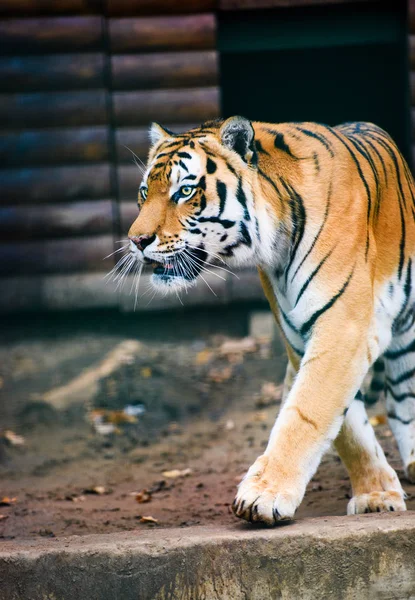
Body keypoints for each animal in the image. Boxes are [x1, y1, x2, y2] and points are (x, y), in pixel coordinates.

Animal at [127, 117, 415, 524]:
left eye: (185, 191)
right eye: (143, 192)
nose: (136, 241)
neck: (277, 245)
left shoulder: (343, 329)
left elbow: (307, 413)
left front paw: (263, 495)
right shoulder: (299, 338)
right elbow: (347, 429)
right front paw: (375, 492)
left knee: (403, 399)